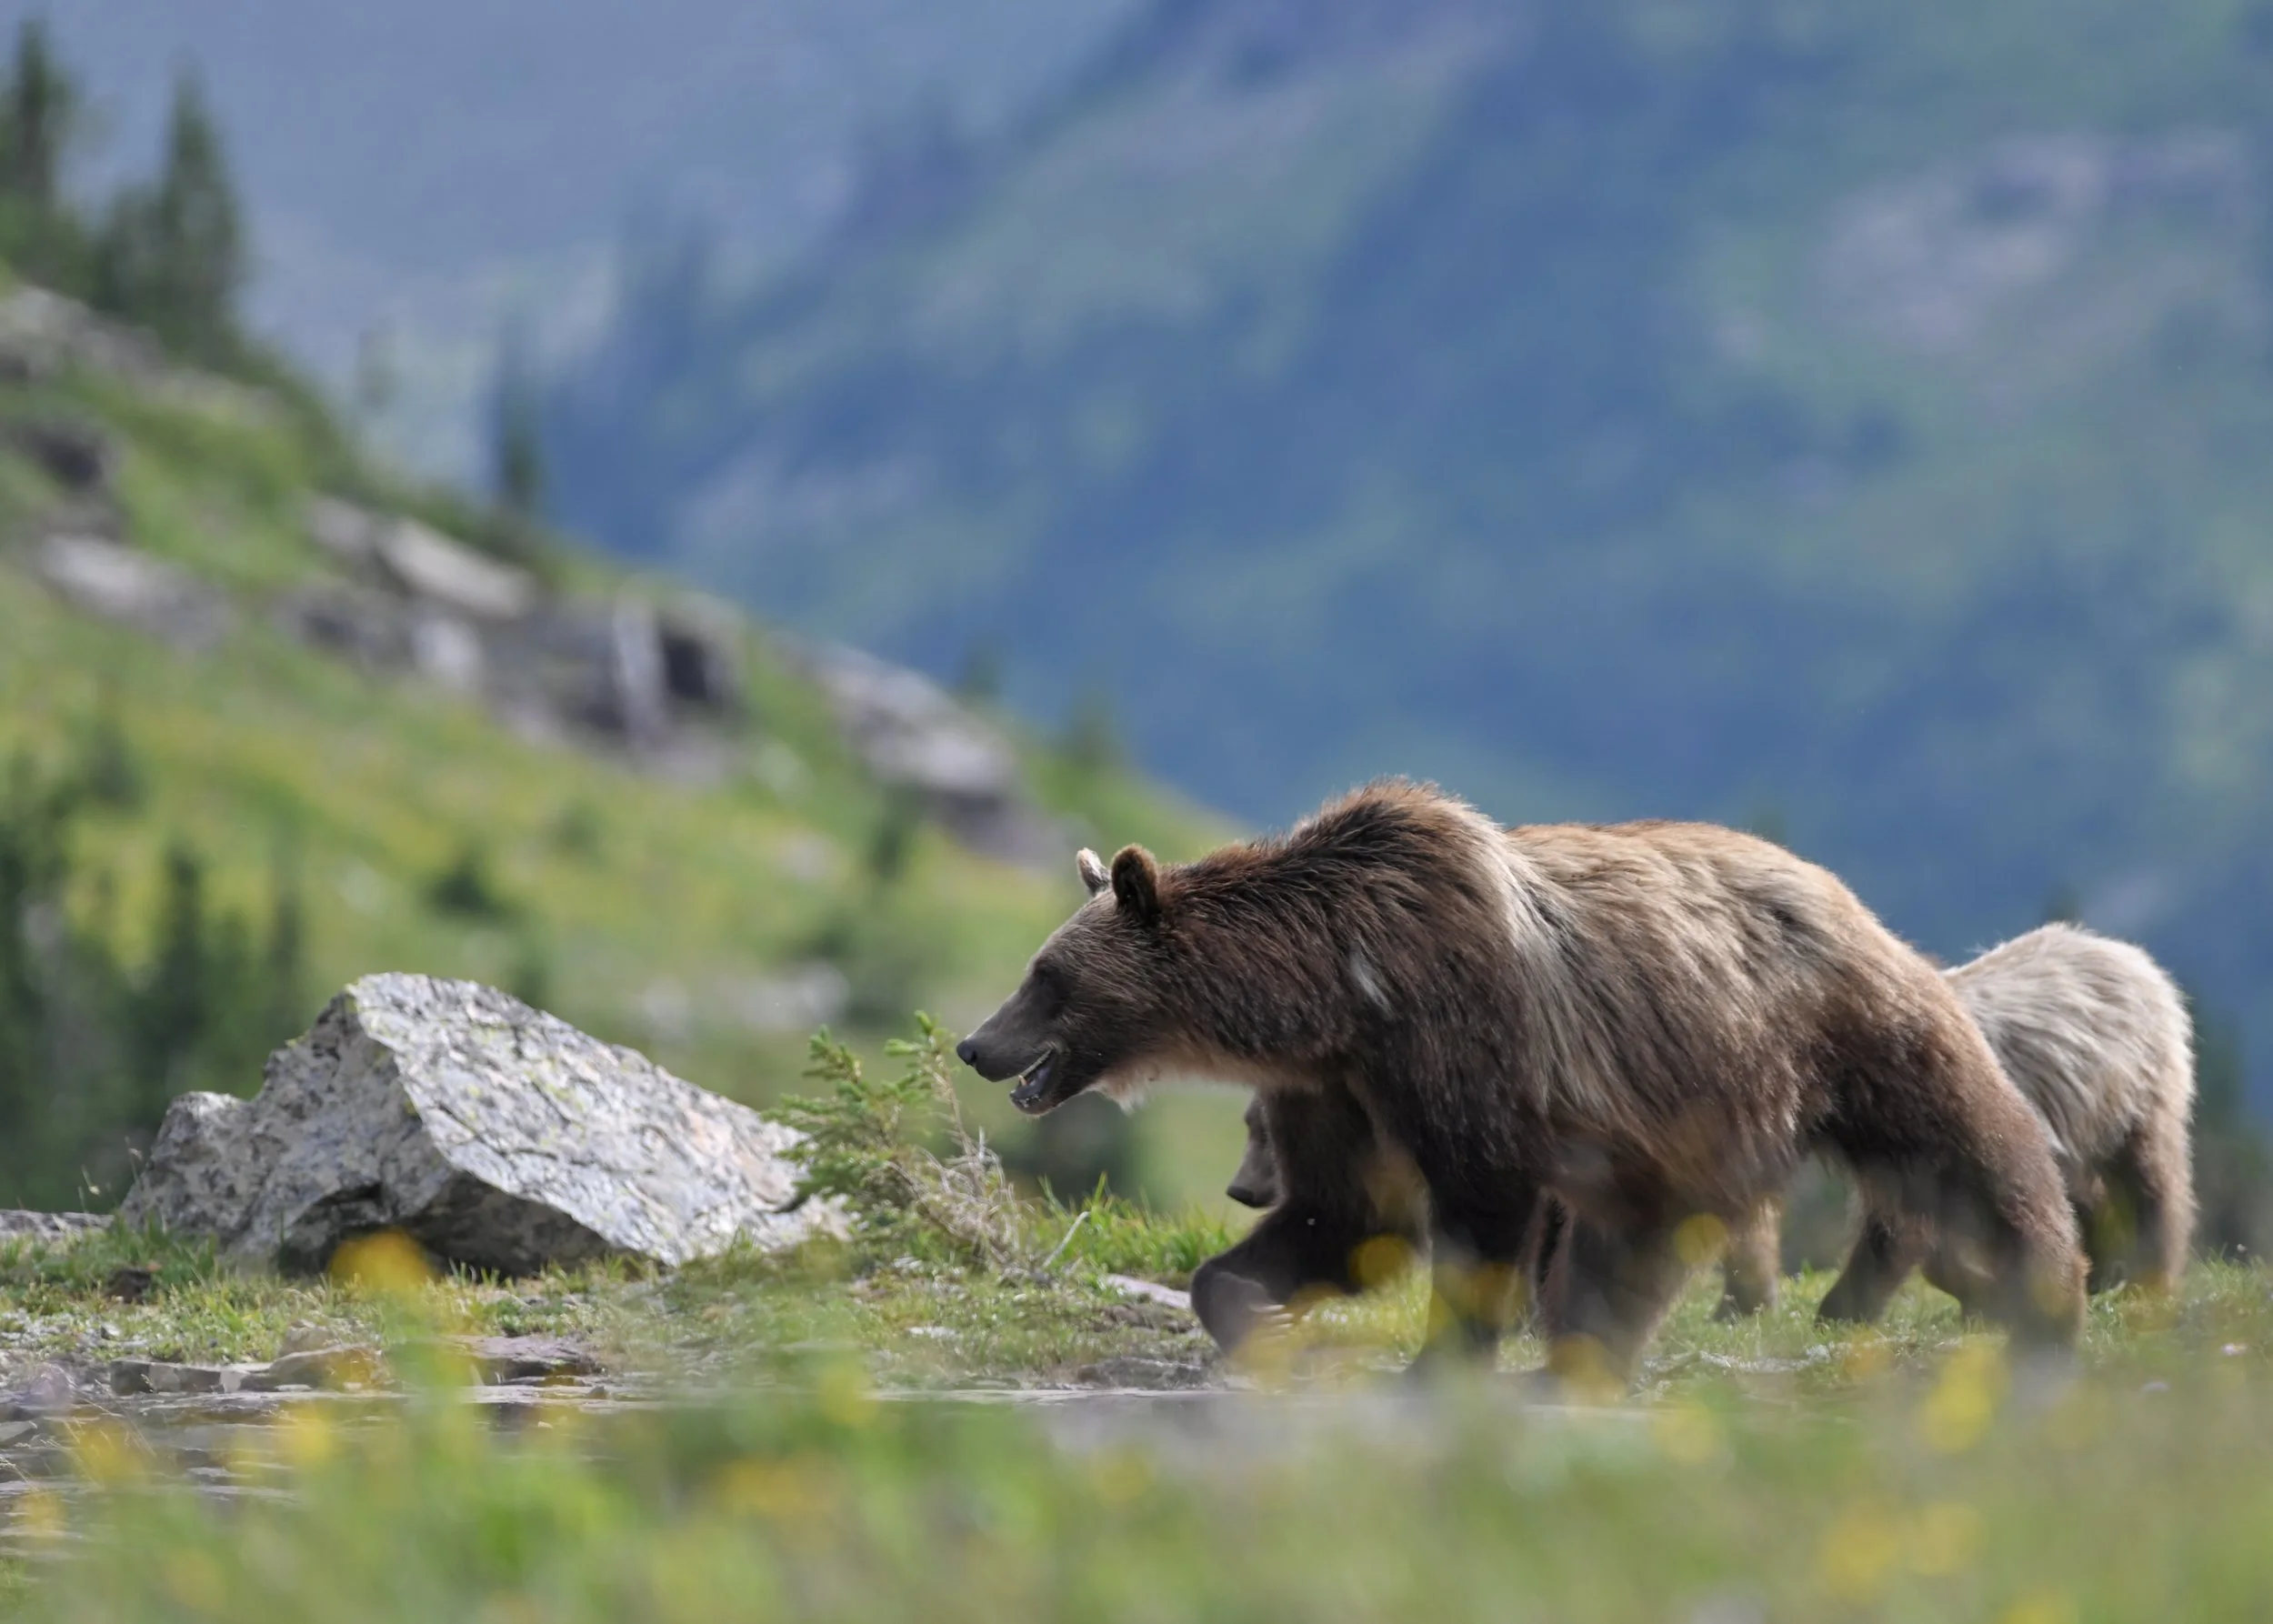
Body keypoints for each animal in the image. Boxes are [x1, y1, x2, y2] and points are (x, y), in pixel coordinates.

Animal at [955, 780, 2085, 1384]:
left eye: (1045, 976)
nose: (975, 1043)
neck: (1334, 992)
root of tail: (1830, 884)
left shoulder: (1457, 1036)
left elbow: (1477, 1197)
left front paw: (1443, 1357)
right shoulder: (1337, 1090)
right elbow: (1342, 1214)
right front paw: (1248, 1305)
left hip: (1839, 1030)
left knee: (1964, 1143)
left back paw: (2048, 1292)